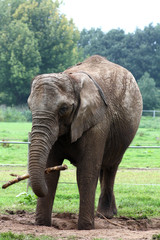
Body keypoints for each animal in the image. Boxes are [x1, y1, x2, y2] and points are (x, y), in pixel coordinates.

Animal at [27, 55, 142, 230]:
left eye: (63, 108)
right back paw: (104, 215)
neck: (72, 79)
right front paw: (42, 225)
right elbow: (51, 170)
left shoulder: (98, 123)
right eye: (29, 107)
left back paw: (106, 215)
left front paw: (85, 227)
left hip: (123, 135)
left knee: (110, 166)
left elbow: (86, 172)